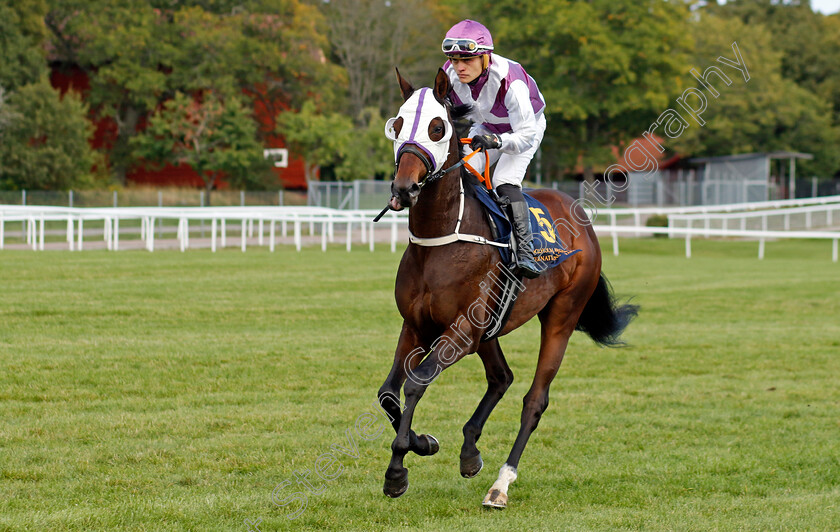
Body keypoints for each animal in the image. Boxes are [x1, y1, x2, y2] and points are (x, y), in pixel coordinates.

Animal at [376, 68, 636, 510]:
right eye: (397, 124)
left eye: (436, 127)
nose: (404, 189)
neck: (440, 240)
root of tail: (581, 219)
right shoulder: (417, 325)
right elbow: (388, 393)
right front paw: (424, 442)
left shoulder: (461, 331)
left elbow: (415, 383)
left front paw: (398, 469)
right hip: (490, 327)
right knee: (501, 377)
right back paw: (469, 452)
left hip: (561, 316)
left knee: (534, 400)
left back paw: (501, 484)